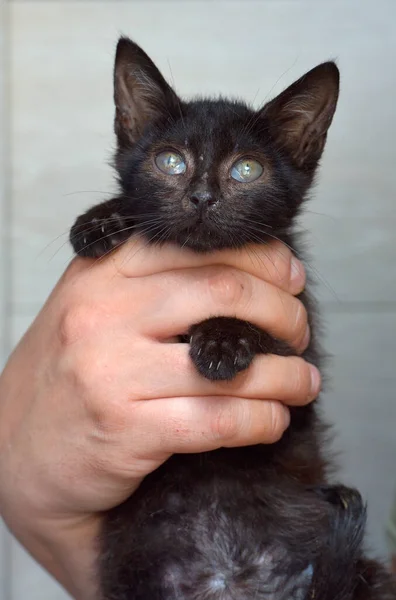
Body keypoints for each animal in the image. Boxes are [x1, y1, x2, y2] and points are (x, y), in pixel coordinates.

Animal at [69, 39, 394, 596]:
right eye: (170, 161)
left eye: (247, 170)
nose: (202, 197)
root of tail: (234, 579)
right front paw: (102, 220)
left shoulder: (301, 353)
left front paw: (223, 339)